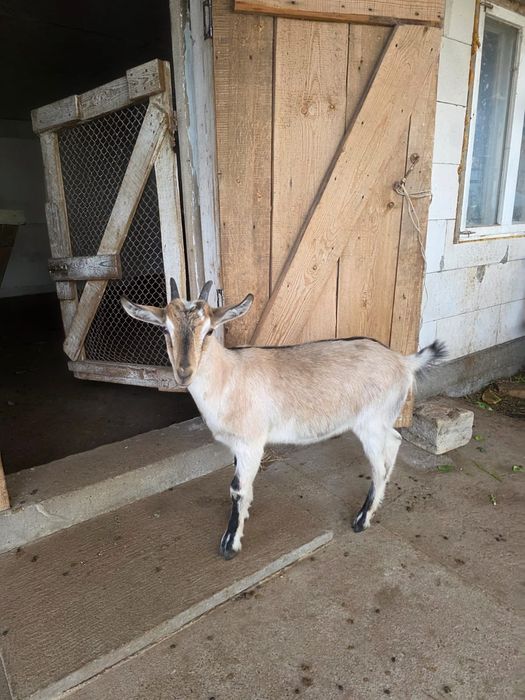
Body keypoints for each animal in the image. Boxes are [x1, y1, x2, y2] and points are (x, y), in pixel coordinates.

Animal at [121, 280, 445, 559]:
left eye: (210, 331)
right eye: (165, 329)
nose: (184, 372)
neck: (229, 377)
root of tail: (404, 361)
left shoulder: (251, 442)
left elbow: (236, 487)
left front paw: (230, 544)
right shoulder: (239, 445)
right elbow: (243, 485)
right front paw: (244, 516)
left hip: (370, 424)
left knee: (378, 465)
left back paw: (362, 519)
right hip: (380, 422)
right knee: (395, 441)